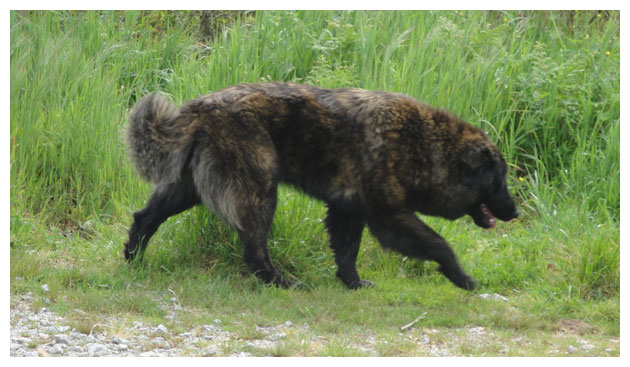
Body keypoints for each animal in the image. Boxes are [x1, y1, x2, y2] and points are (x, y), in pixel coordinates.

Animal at [123, 82, 520, 290]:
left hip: (186, 188)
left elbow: (347, 252)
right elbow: (440, 245)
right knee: (254, 248)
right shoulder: (389, 216)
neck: (425, 144)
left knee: (145, 217)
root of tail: (202, 106)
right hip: (259, 191)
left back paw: (132, 258)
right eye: (498, 181)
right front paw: (463, 278)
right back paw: (280, 282)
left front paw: (353, 284)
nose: (515, 212)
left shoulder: (349, 210)